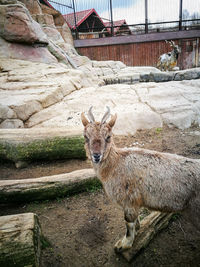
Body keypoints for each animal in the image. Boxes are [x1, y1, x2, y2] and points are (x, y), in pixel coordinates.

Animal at [81, 107, 200, 253]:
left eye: (108, 136)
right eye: (85, 136)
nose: (96, 156)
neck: (116, 164)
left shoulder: (129, 200)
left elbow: (128, 222)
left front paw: (123, 244)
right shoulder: (135, 202)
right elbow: (136, 219)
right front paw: (137, 230)